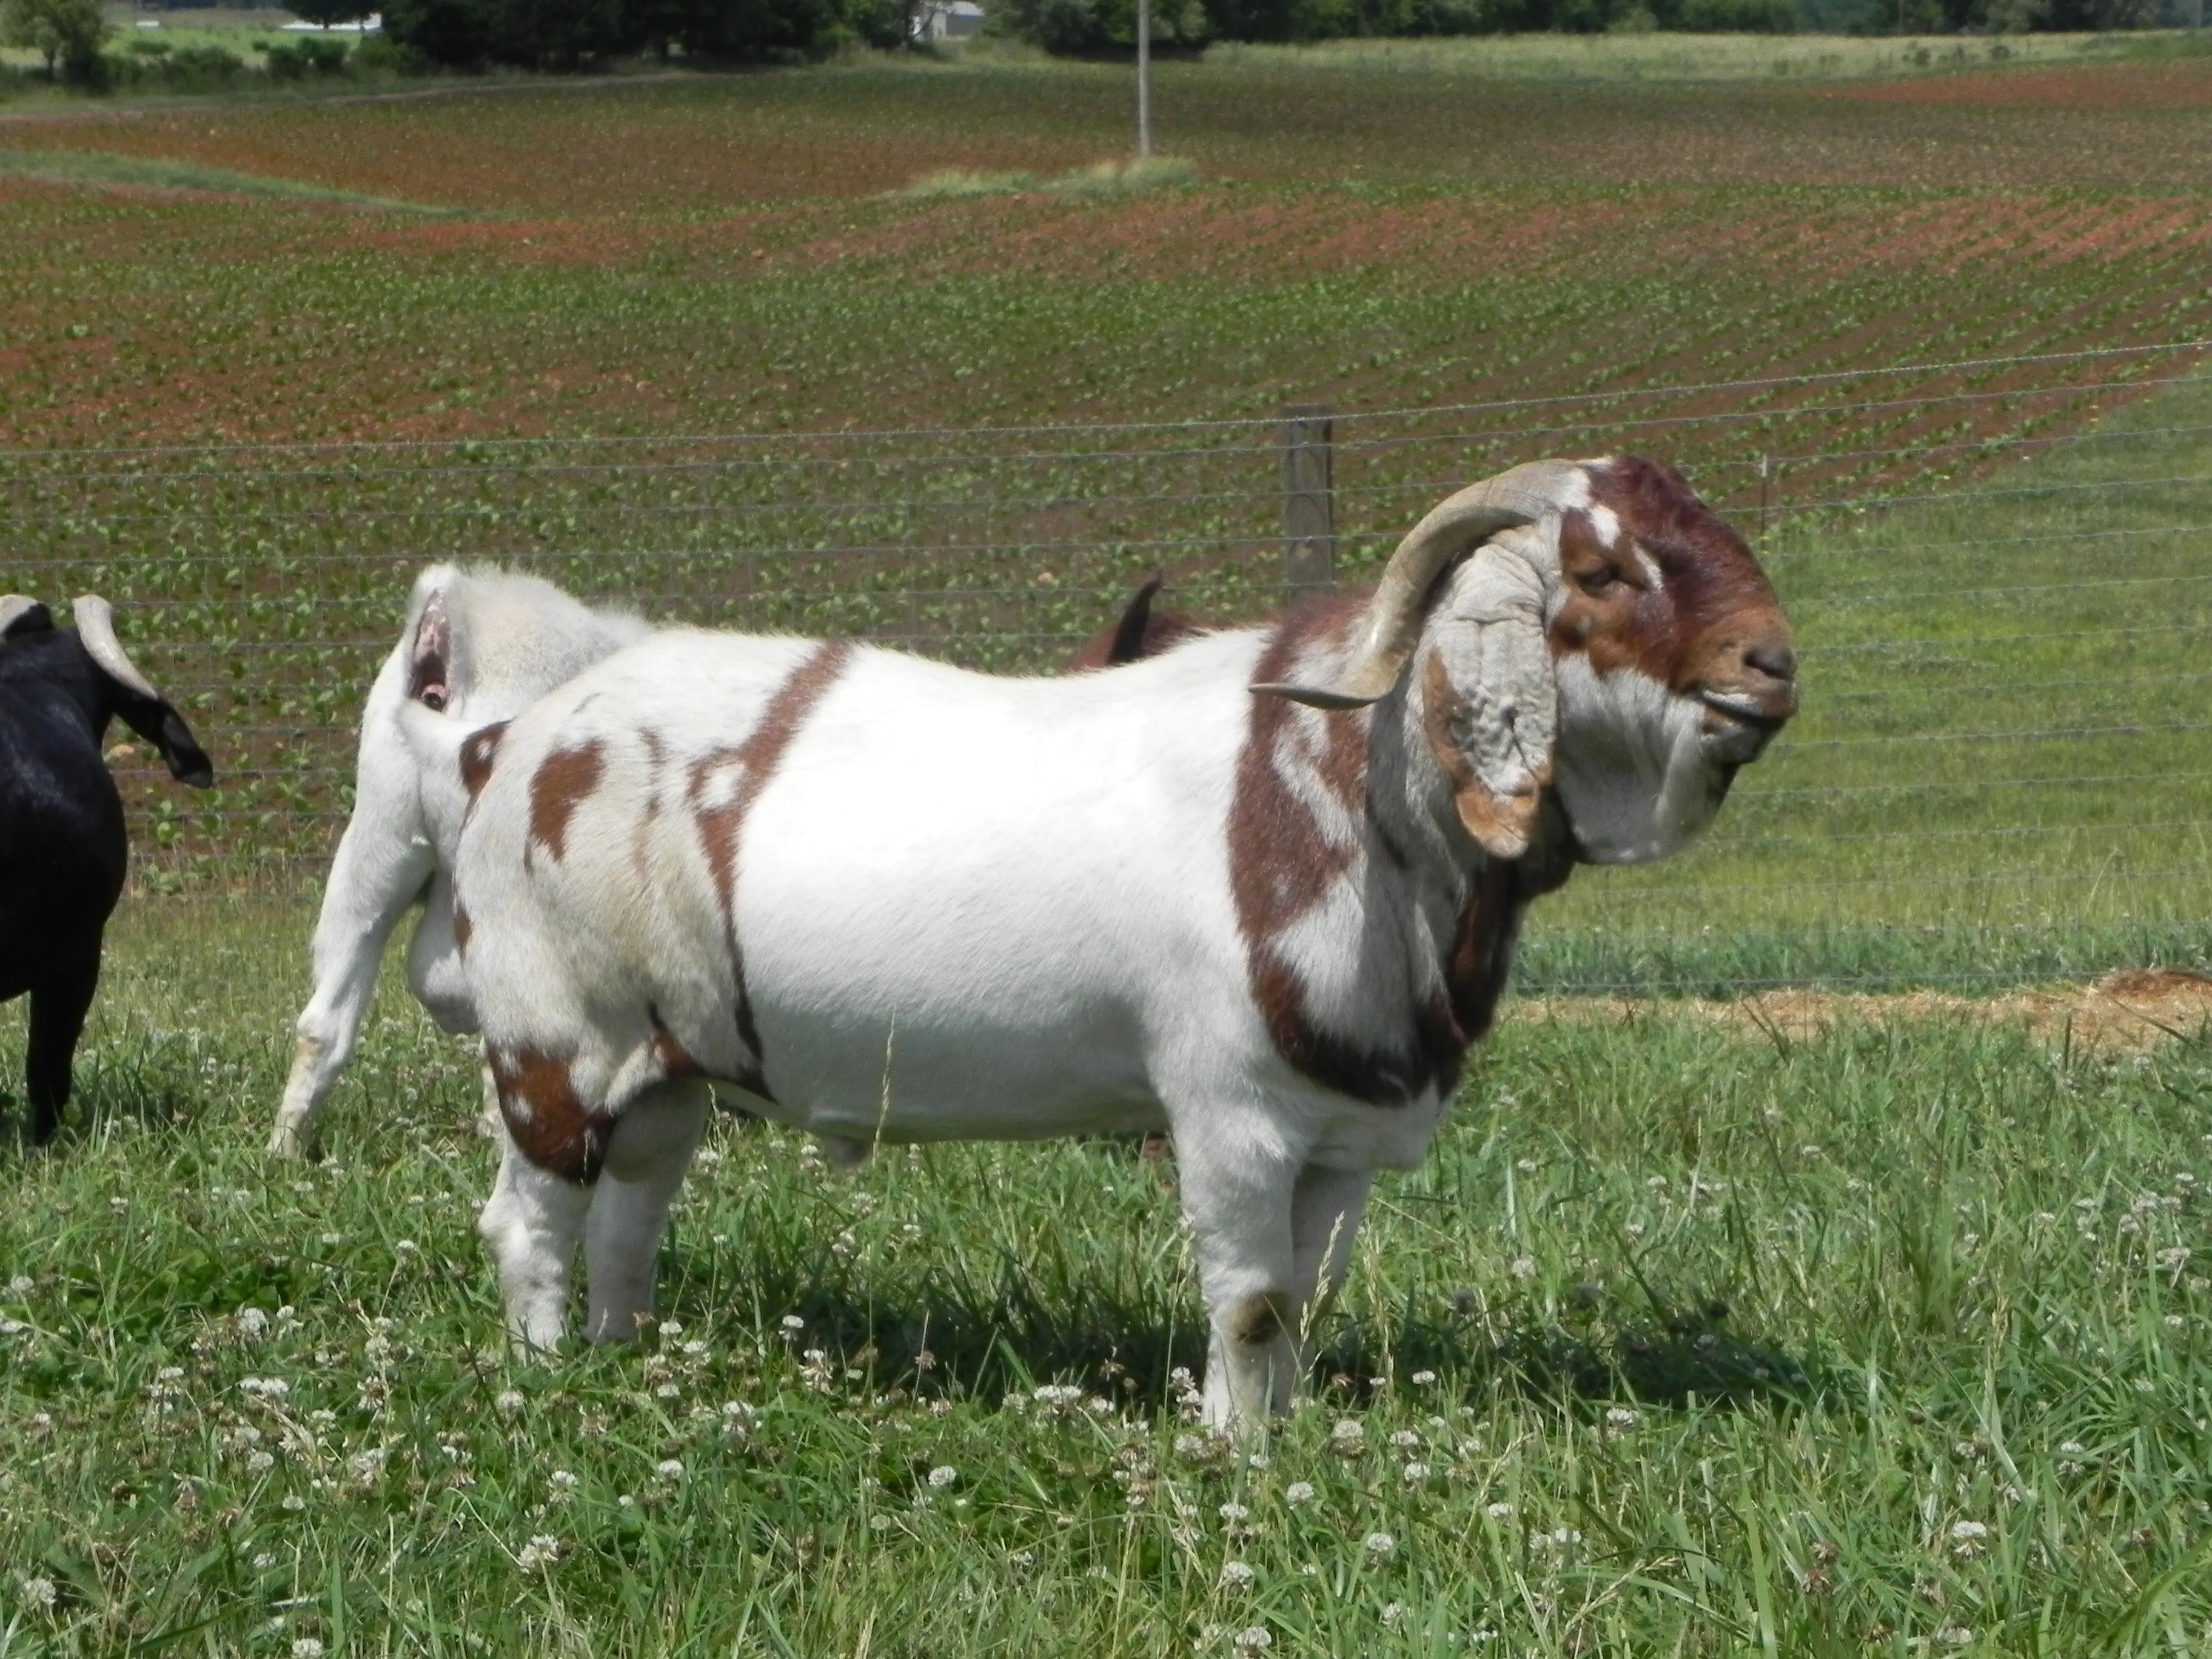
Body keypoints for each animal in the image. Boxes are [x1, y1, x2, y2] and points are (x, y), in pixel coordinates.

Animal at [447, 457, 1797, 1425]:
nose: (1773, 665)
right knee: (529, 1222)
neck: (1338, 788)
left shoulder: (1340, 1142)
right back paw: (548, 1381)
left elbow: (1308, 1299)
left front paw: (1289, 1440)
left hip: (669, 1064)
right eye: (1605, 570)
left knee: (630, 1214)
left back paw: (625, 1362)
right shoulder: (1228, 1114)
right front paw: (1237, 1459)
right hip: (554, 1042)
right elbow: (1252, 1306)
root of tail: (519, 738)